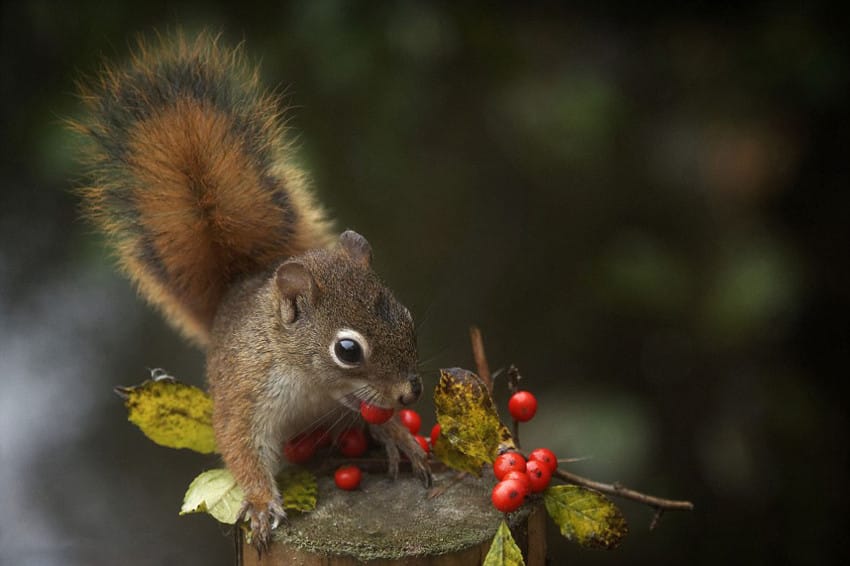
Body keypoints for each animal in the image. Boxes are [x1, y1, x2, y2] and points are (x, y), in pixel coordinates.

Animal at [72, 31, 430, 552]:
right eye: (347, 350)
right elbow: (242, 448)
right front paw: (262, 504)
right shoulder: (245, 393)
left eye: (406, 317)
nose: (410, 392)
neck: (309, 382)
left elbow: (376, 417)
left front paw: (402, 440)